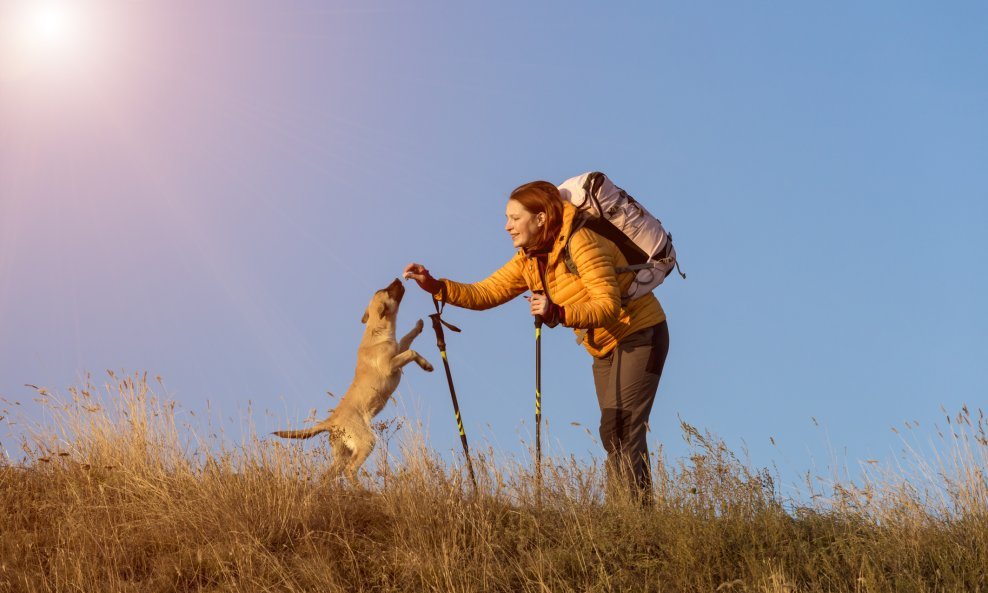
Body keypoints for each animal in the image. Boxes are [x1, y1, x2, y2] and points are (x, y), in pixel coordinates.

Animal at [276, 278, 434, 480]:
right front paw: (426, 364)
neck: (377, 330)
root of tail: (332, 420)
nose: (398, 279)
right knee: (350, 470)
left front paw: (418, 328)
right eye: (386, 290)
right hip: (367, 441)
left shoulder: (397, 350)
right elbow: (412, 351)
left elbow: (407, 340)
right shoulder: (390, 365)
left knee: (329, 475)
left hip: (342, 454)